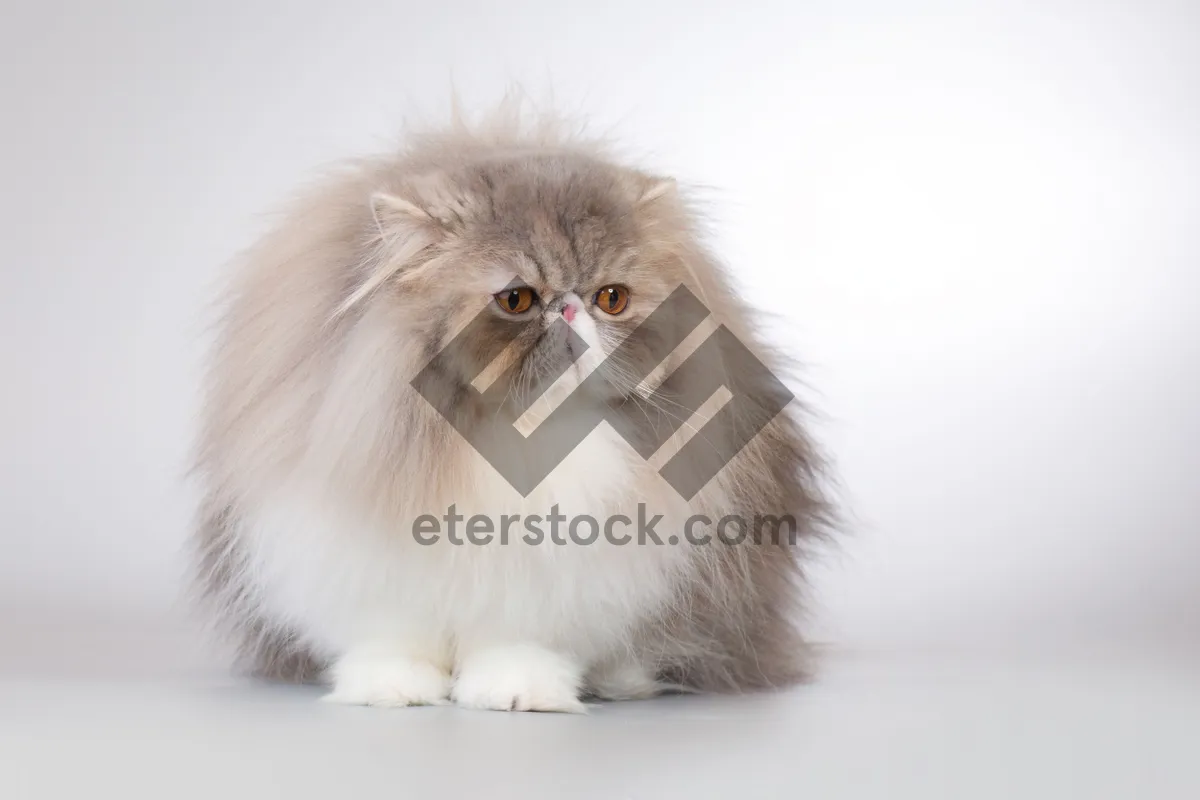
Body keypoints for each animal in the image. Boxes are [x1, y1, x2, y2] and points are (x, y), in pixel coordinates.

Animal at [192, 101, 830, 714]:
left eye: (611, 298)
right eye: (517, 300)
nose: (570, 307)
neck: (514, 442)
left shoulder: (549, 578)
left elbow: (518, 643)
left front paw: (516, 695)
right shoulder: (365, 561)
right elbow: (393, 639)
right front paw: (393, 690)